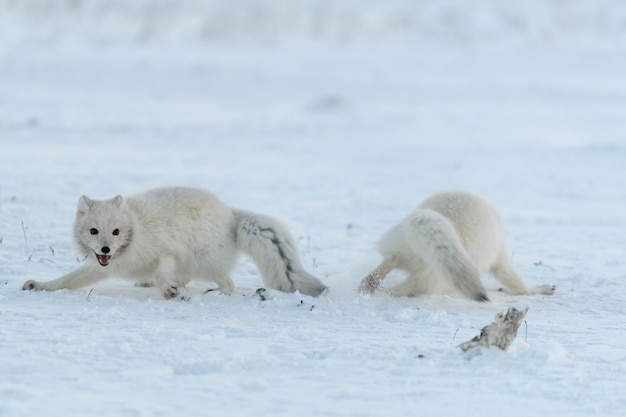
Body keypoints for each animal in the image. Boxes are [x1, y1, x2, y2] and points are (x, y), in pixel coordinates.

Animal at [23, 186, 326, 300]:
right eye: (95, 231)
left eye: (117, 231)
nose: (106, 249)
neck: (136, 233)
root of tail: (231, 213)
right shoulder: (99, 267)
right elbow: (67, 279)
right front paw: (40, 285)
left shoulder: (167, 252)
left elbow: (160, 270)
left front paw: (167, 290)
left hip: (204, 260)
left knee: (228, 284)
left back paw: (212, 292)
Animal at [358, 190, 552, 300]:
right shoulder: (499, 258)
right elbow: (517, 283)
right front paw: (539, 289)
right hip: (433, 278)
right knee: (403, 288)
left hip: (395, 246)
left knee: (387, 266)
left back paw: (369, 285)